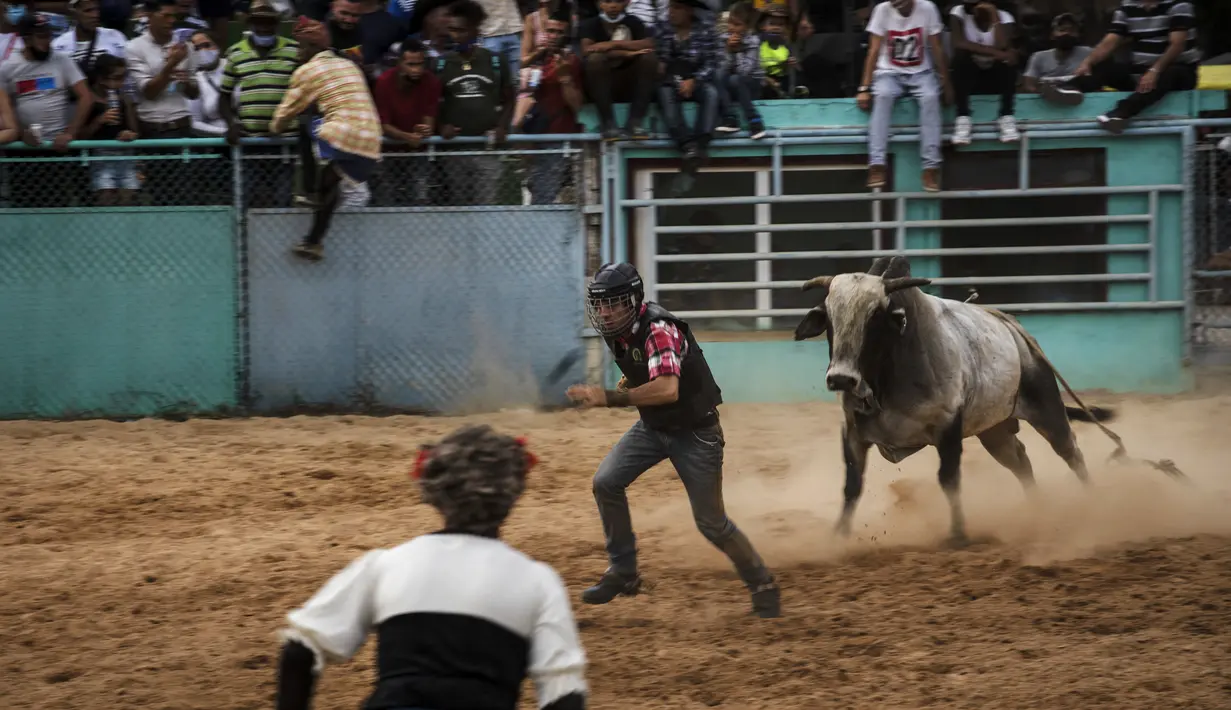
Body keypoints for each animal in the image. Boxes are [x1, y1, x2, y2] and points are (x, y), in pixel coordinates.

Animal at [792, 257, 1112, 546]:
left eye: (875, 318)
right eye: (829, 319)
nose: (841, 378)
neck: (887, 379)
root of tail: (1016, 330)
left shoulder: (947, 428)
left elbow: (949, 480)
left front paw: (958, 534)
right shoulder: (853, 432)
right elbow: (852, 486)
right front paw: (838, 537)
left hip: (1047, 409)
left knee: (1071, 453)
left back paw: (1091, 501)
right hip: (995, 432)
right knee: (1021, 461)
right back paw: (1037, 508)